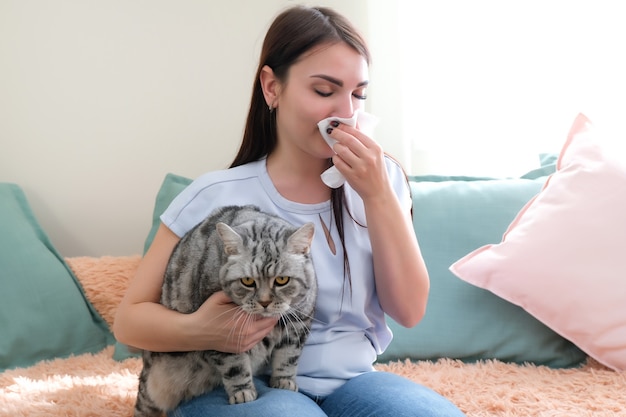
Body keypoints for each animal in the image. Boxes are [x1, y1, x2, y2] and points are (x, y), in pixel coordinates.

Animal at [133, 203, 314, 414]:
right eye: (247, 281)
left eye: (282, 280)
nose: (264, 302)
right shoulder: (221, 337)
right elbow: (234, 367)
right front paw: (242, 393)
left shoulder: (298, 325)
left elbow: (288, 358)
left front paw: (284, 381)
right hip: (152, 387)